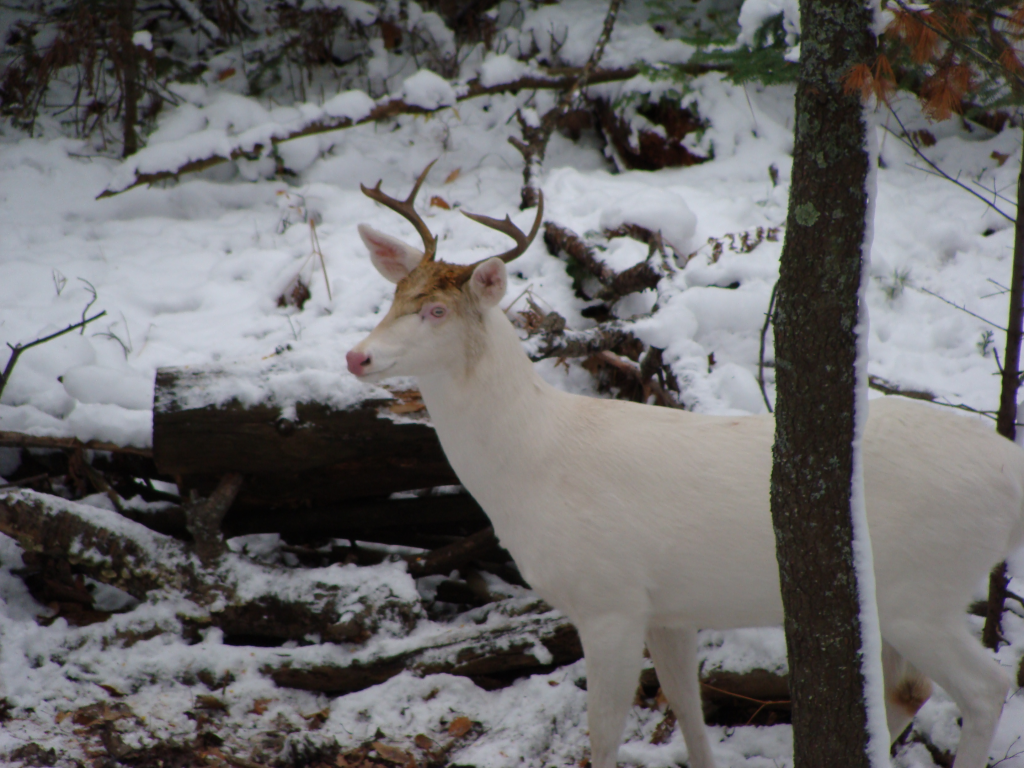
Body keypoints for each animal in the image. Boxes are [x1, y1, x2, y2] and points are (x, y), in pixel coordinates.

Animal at [346, 165, 1024, 768]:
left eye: (437, 311)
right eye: (395, 297)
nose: (358, 356)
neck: (532, 464)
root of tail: (1010, 466)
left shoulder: (610, 597)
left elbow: (604, 735)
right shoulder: (667, 607)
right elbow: (687, 710)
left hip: (925, 585)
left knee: (985, 688)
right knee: (908, 691)